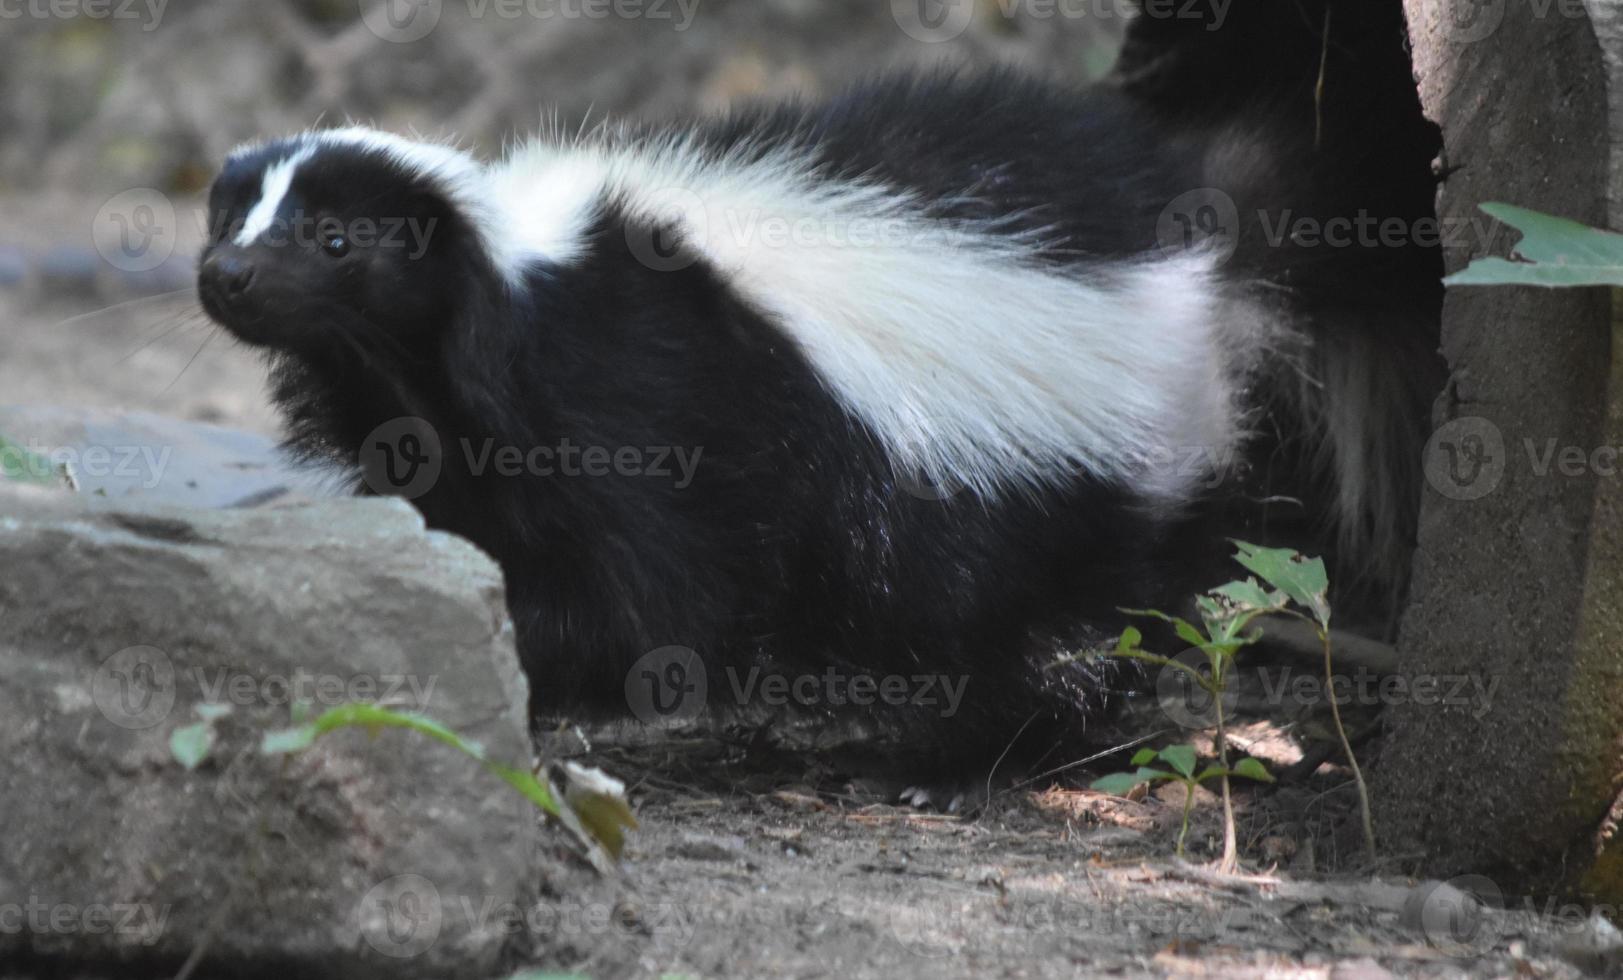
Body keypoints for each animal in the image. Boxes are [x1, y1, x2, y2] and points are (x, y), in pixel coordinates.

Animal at [199, 63, 1447, 765]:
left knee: (1059, 633)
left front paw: (516, 669)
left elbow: (641, 597)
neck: (507, 288)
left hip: (1056, 488)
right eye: (229, 218)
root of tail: (1190, 222)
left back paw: (955, 761)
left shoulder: (642, 402)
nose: (223, 277)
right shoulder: (447, 432)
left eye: (337, 240)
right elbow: (471, 534)